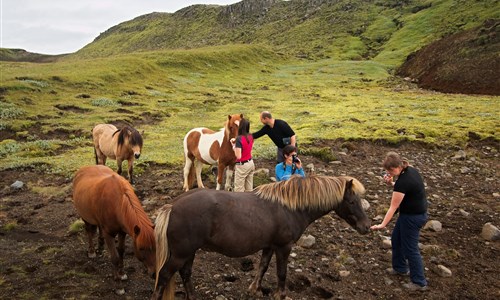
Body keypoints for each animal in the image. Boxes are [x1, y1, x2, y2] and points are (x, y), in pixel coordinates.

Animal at [152, 175, 372, 298]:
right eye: (352, 201)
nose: (366, 226)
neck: (290, 207)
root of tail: (172, 206)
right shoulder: (283, 246)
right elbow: (281, 273)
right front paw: (280, 294)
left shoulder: (269, 245)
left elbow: (263, 267)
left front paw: (254, 289)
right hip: (181, 254)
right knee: (164, 276)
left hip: (189, 253)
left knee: (185, 274)